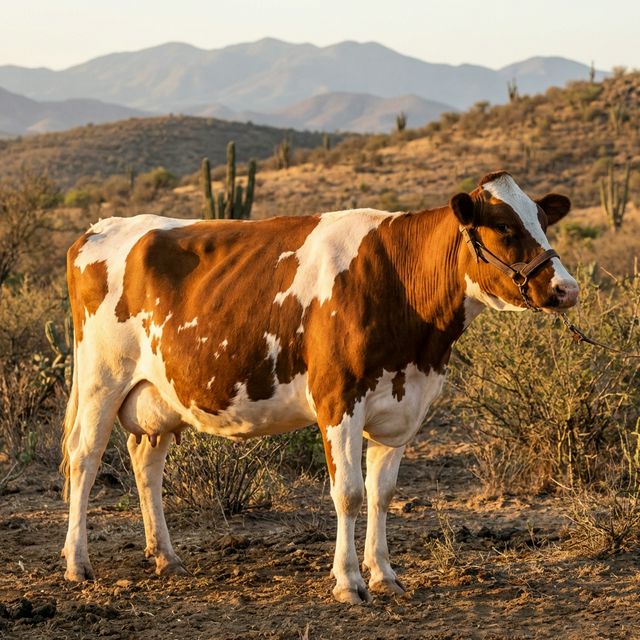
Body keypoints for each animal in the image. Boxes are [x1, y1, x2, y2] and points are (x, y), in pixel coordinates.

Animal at [61, 171, 579, 604]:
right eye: (504, 227)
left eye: (542, 221)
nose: (567, 288)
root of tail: (100, 229)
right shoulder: (338, 399)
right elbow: (348, 493)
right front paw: (348, 582)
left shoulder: (404, 406)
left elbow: (382, 493)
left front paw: (384, 575)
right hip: (101, 379)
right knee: (84, 459)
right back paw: (77, 563)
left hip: (159, 394)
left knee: (145, 462)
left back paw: (166, 558)